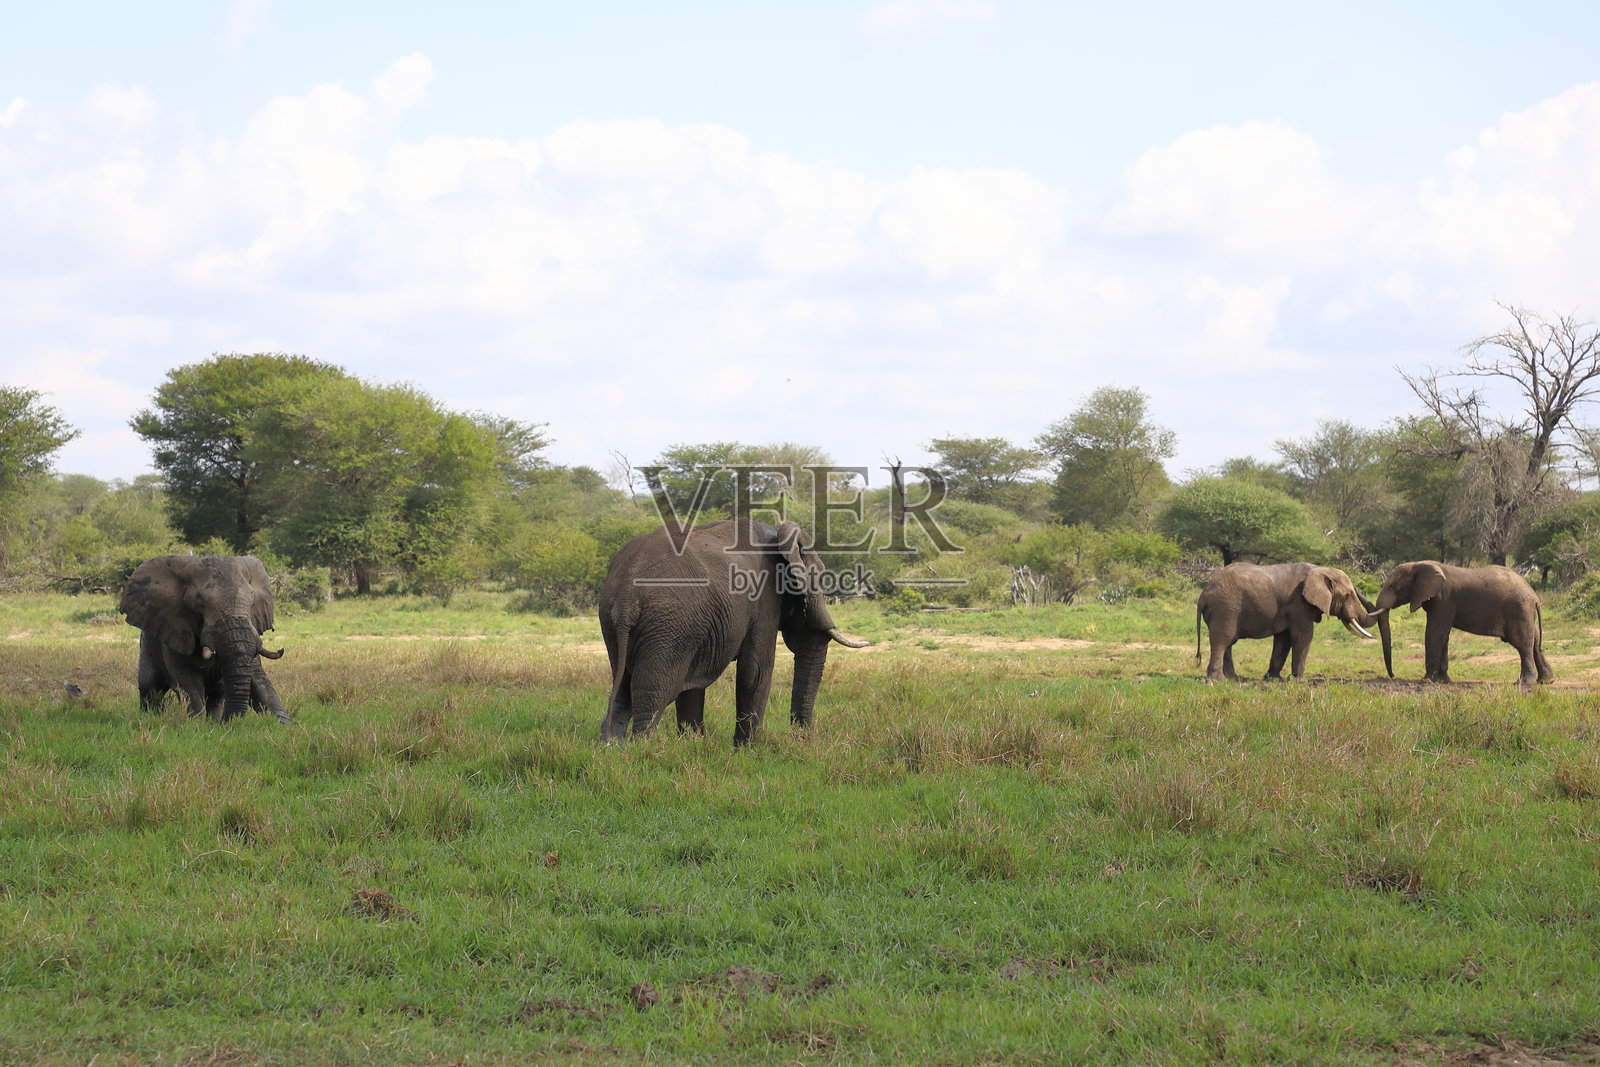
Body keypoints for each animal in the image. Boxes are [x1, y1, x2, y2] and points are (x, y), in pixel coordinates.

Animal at [118, 554, 291, 722]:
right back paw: (148, 719)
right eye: (199, 603)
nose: (229, 723)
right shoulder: (175, 629)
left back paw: (212, 722)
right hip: (147, 644)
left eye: (253, 603)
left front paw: (284, 724)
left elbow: (259, 680)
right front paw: (196, 725)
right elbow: (189, 681)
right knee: (150, 688)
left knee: (216, 694)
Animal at [599, 519, 868, 748]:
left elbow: (693, 682)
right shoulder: (764, 596)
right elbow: (756, 671)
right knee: (653, 693)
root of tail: (626, 596)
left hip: (622, 624)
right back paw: (644, 750)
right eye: (820, 575)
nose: (800, 739)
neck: (777, 532)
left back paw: (612, 748)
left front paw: (693, 747)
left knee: (622, 689)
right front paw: (747, 752)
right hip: (668, 626)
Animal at [1195, 562, 1391, 682]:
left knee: (1228, 642)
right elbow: (1303, 635)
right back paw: (1218, 680)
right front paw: (1300, 681)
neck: (1319, 569)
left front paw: (1274, 679)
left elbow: (1284, 639)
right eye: (1348, 595)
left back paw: (1233, 679)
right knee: (1223, 640)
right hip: (1225, 608)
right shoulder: (1298, 602)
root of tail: (1203, 595)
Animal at [1374, 561, 1552, 686]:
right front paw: (1443, 681)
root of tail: (1535, 597)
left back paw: (1523, 683)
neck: (1419, 564)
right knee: (1535, 643)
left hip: (1519, 610)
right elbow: (1444, 636)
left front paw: (1426, 680)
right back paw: (1546, 681)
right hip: (1525, 613)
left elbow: (1434, 633)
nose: (1392, 676)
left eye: (1395, 587)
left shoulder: (1444, 600)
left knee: (1522, 644)